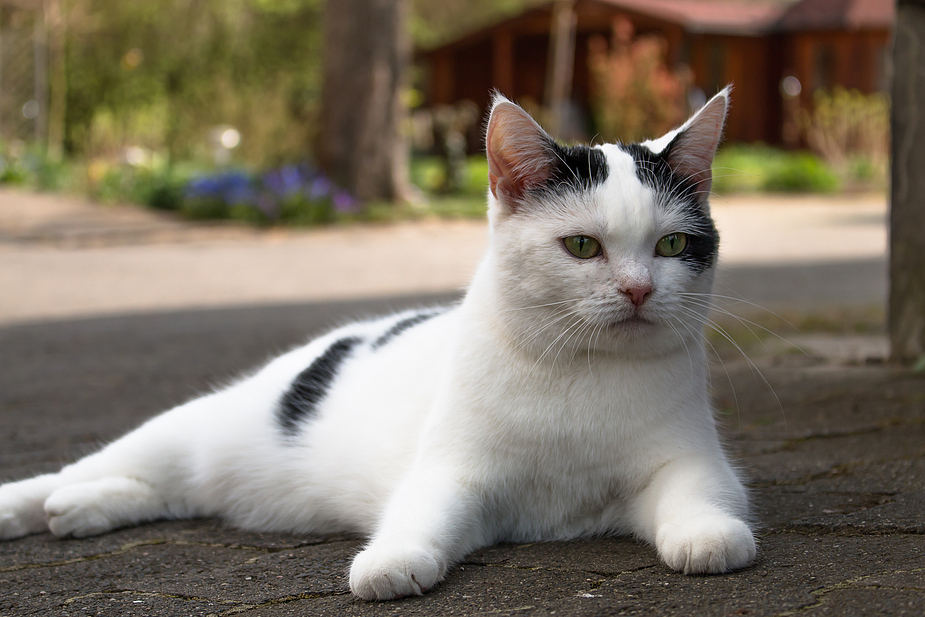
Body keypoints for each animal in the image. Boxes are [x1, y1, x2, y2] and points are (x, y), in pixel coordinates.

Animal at [0, 89, 756, 600]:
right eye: (581, 246)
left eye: (672, 246)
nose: (637, 289)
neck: (582, 372)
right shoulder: (452, 472)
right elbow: (422, 513)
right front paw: (390, 563)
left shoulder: (689, 461)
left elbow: (698, 495)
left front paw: (707, 535)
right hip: (183, 430)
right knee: (80, 471)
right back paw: (29, 507)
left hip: (211, 479)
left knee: (163, 494)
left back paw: (81, 513)